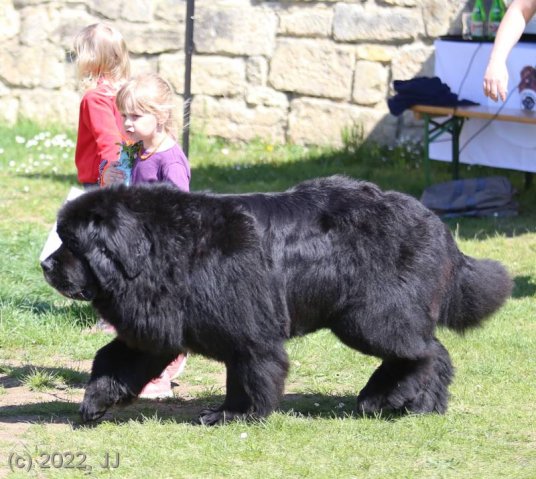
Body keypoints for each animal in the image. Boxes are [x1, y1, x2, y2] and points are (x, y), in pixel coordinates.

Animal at [40, 175, 510, 424]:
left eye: (72, 243)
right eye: (61, 238)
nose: (46, 265)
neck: (163, 249)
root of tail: (435, 223)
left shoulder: (248, 331)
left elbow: (251, 373)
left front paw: (235, 416)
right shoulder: (159, 326)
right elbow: (113, 359)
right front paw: (95, 403)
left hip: (370, 316)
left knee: (423, 352)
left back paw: (384, 398)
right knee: (434, 354)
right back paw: (425, 406)